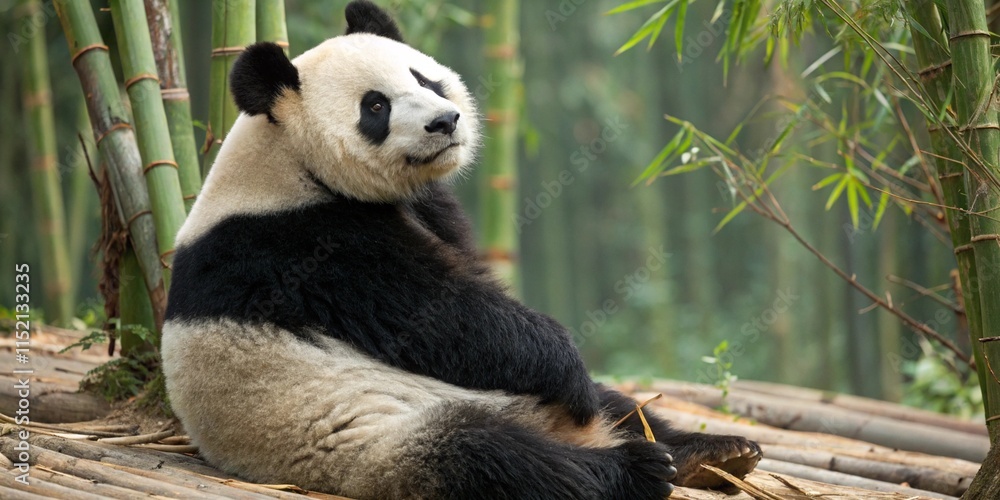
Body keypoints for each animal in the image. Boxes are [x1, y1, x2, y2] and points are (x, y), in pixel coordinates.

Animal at [162, 1, 761, 498]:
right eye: (375, 107)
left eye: (425, 78)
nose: (444, 121)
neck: (288, 160)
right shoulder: (304, 244)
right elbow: (444, 318)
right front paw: (560, 362)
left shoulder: (422, 207)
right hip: (376, 436)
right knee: (494, 457)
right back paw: (632, 469)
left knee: (616, 403)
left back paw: (712, 453)